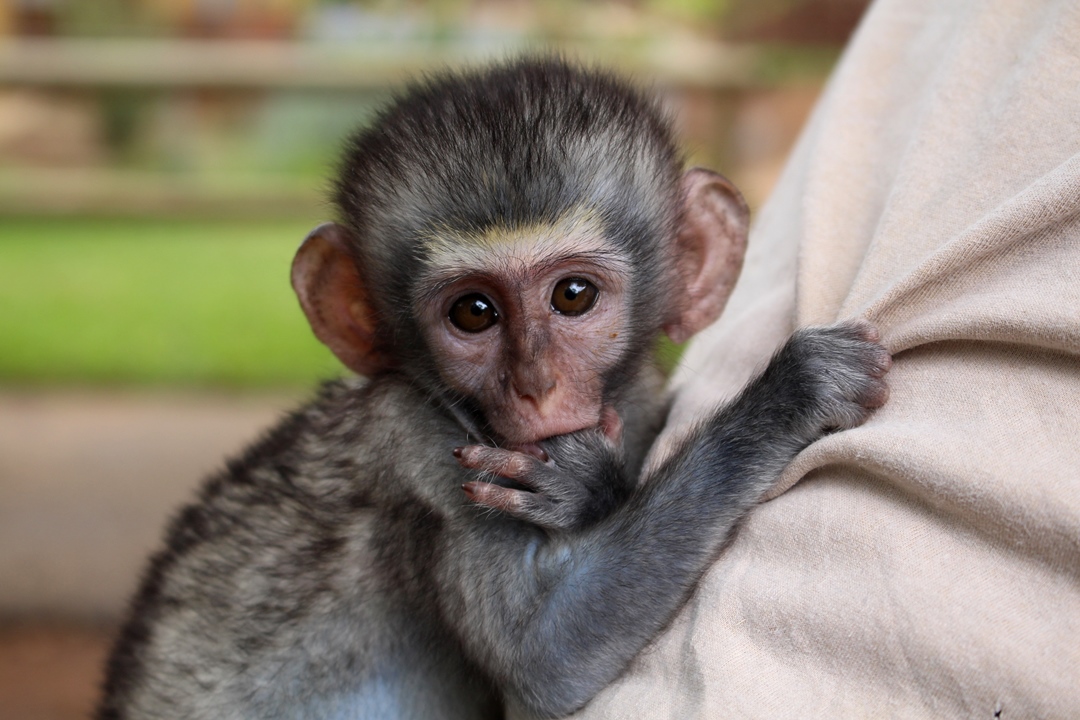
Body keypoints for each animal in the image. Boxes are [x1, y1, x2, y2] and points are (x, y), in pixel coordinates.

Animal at [97, 59, 889, 716]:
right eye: (473, 312)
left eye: (572, 296)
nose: (534, 384)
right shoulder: (418, 441)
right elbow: (544, 656)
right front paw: (789, 394)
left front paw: (582, 485)